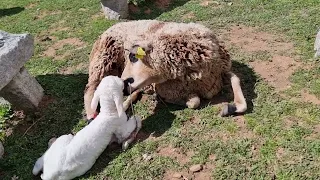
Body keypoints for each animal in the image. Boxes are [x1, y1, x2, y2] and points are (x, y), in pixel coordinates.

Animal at [84, 19, 246, 120]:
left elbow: (236, 79)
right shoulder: (165, 87)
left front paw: (232, 108)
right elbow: (194, 102)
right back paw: (92, 115)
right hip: (103, 59)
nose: (123, 86)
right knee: (90, 89)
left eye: (133, 56)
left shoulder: (221, 70)